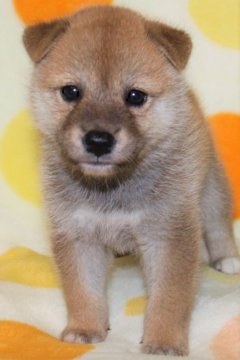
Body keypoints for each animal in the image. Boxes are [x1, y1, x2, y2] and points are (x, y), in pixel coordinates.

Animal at [22, 6, 240, 358]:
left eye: (135, 96)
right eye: (71, 91)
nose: (98, 140)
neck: (112, 188)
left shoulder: (169, 235)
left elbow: (169, 298)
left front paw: (164, 342)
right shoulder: (77, 235)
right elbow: (82, 290)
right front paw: (85, 328)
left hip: (211, 190)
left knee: (219, 226)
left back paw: (227, 260)